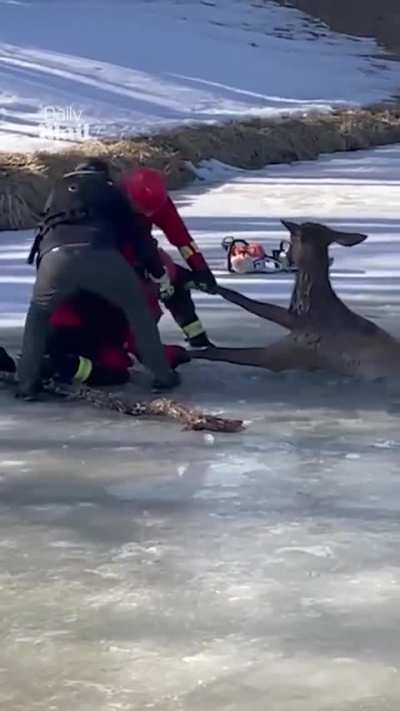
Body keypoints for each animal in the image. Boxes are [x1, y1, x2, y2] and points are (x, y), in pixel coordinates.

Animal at [190, 220, 400, 379]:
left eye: (291, 239)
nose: (287, 255)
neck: (310, 312)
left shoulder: (283, 355)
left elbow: (218, 351)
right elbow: (254, 304)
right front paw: (205, 284)